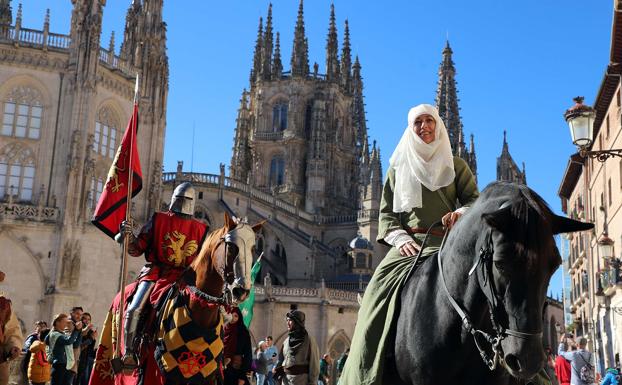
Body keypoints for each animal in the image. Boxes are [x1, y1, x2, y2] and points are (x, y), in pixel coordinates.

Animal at [89, 213, 262, 384]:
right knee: (134, 312)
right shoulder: (156, 374)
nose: (241, 291)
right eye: (231, 247)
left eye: (253, 249)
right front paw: (126, 230)